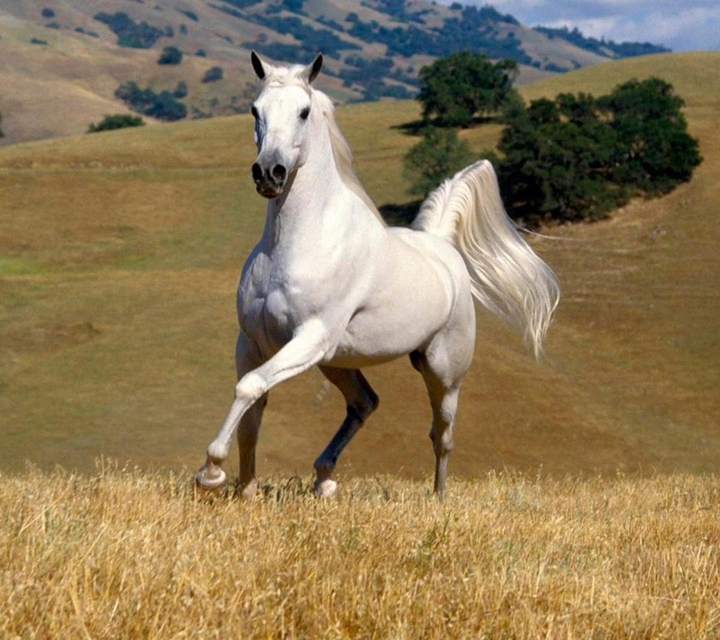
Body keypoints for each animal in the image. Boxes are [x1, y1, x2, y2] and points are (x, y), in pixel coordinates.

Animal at [194, 52, 560, 498]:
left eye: (303, 111)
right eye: (255, 110)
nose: (269, 173)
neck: (295, 243)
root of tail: (441, 246)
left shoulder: (310, 336)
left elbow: (249, 388)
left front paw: (211, 472)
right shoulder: (253, 342)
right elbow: (252, 409)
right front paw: (244, 490)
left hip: (441, 371)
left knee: (441, 435)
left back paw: (438, 498)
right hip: (335, 361)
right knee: (365, 402)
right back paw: (324, 478)